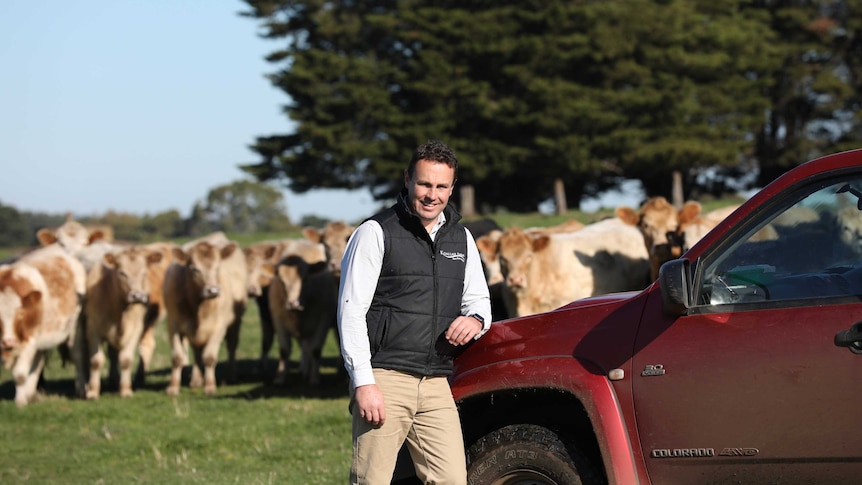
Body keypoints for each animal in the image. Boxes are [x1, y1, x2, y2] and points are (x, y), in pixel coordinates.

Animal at [0, 244, 86, 406]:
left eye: (20, 314)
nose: (9, 341)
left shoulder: (29, 340)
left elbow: (20, 374)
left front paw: (20, 401)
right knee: (38, 363)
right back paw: (31, 393)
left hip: (74, 332)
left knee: (77, 358)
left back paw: (81, 389)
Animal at [82, 244, 164, 398]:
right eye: (121, 273)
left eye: (144, 273)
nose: (137, 296)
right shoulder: (93, 329)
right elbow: (96, 360)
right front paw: (93, 391)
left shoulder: (135, 330)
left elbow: (126, 360)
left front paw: (125, 390)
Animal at [164, 236, 248, 396]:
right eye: (194, 269)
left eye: (217, 267)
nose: (213, 290)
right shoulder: (173, 325)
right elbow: (177, 357)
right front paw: (173, 387)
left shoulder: (219, 327)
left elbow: (209, 357)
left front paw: (209, 386)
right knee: (197, 351)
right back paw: (196, 380)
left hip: (235, 322)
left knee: (232, 345)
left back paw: (231, 375)